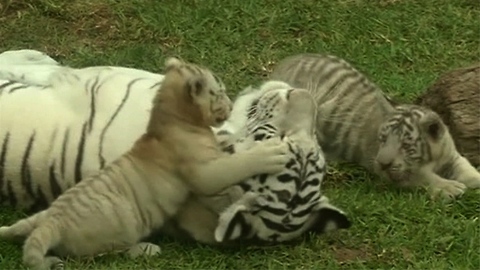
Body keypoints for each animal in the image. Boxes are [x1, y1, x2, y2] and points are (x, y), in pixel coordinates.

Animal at [270, 53, 480, 200]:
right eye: (382, 140)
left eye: (405, 146)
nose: (382, 163)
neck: (431, 159)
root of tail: (282, 65)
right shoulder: (399, 174)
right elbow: (423, 176)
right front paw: (449, 187)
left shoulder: (452, 156)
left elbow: (467, 170)